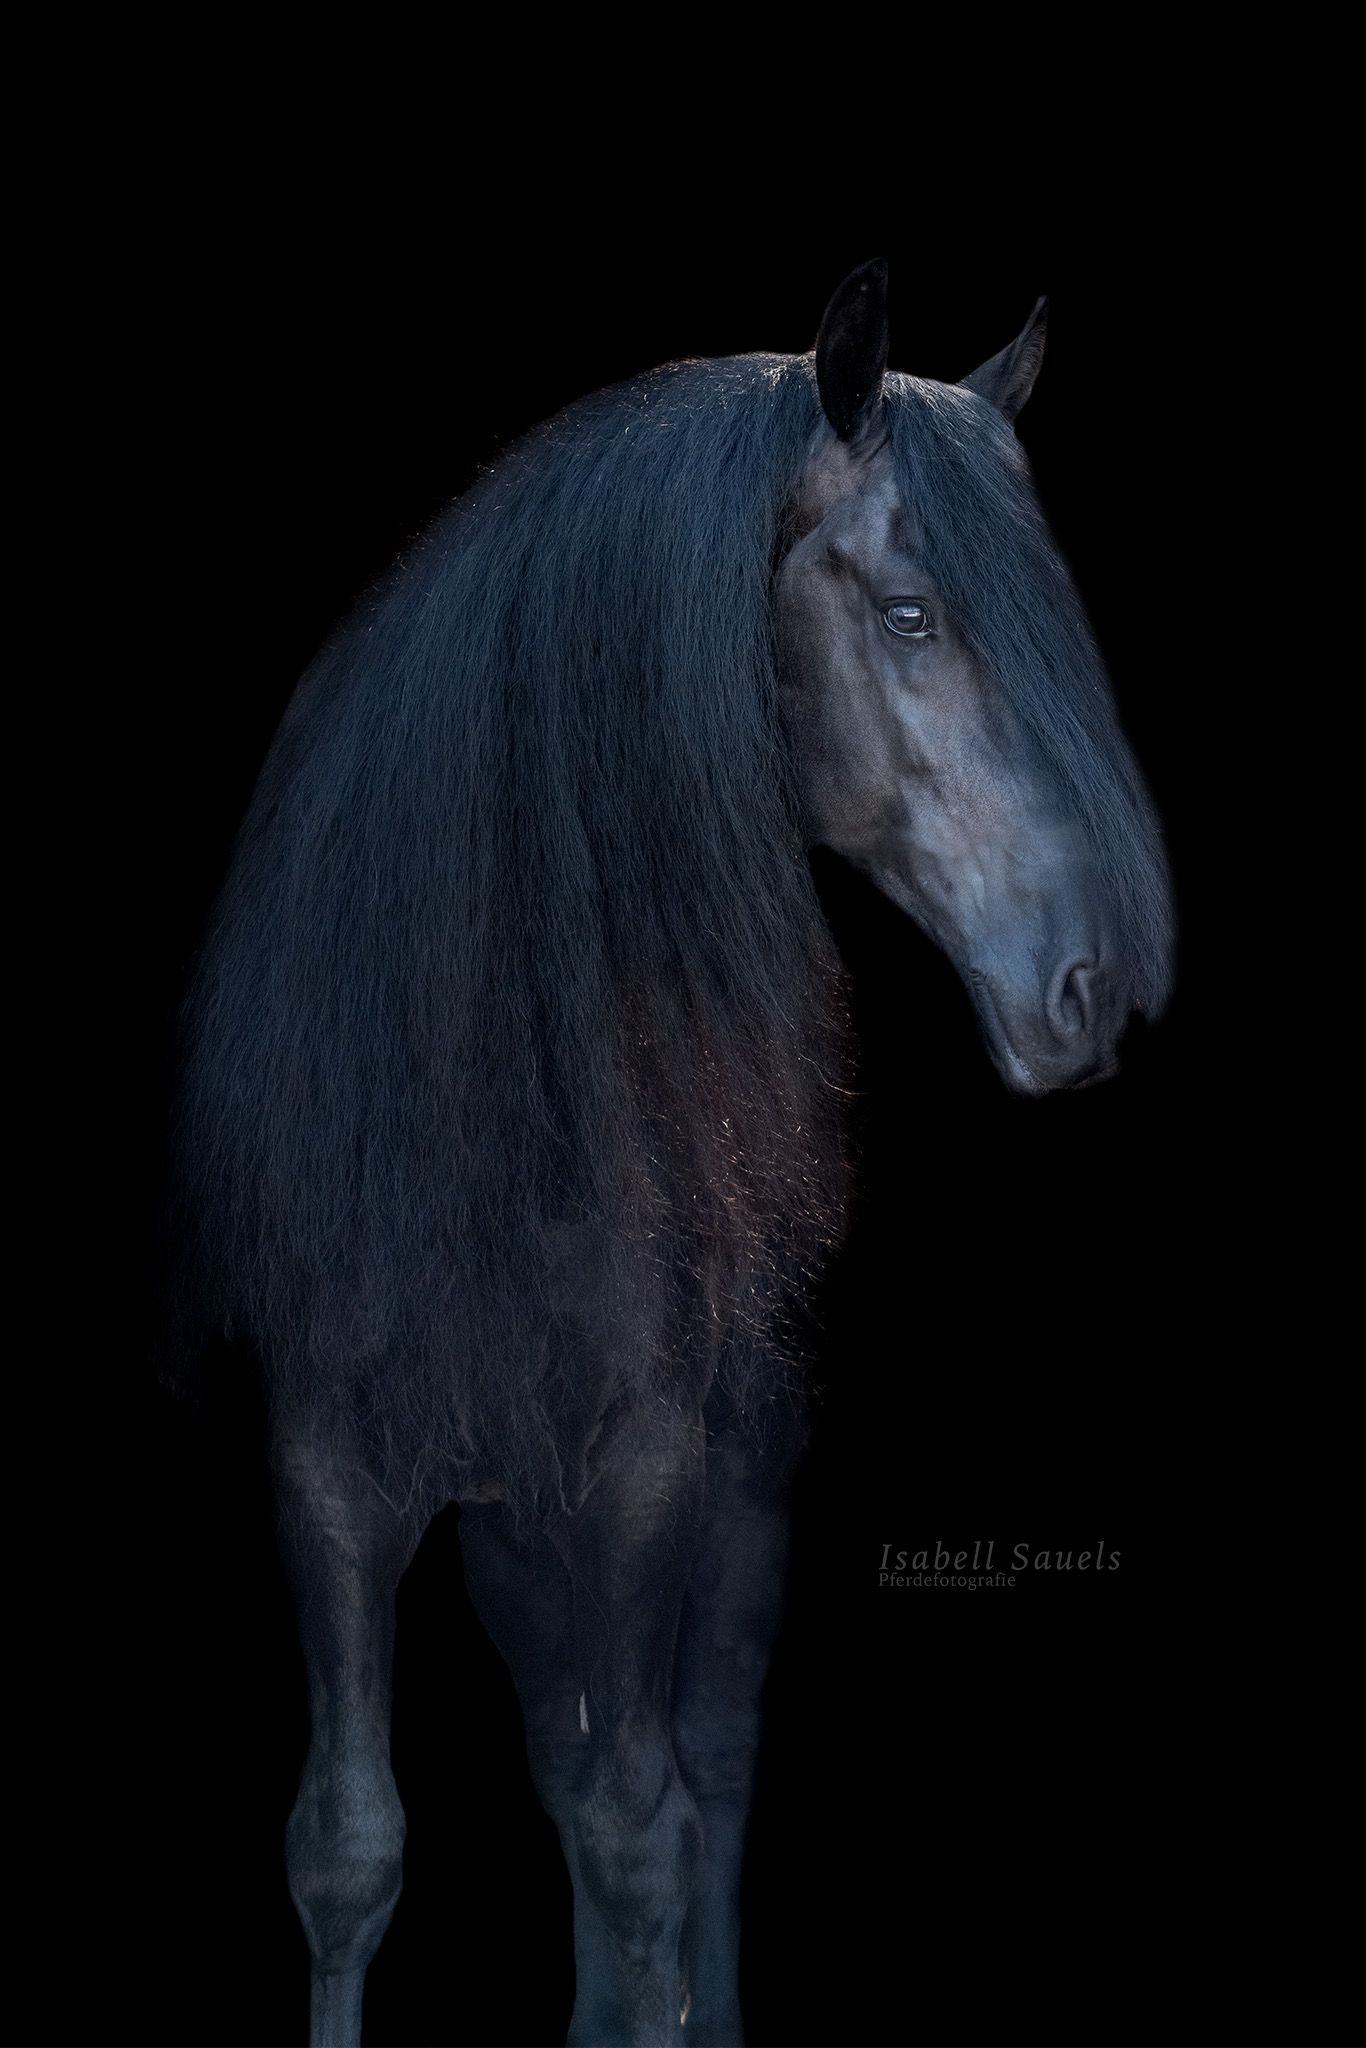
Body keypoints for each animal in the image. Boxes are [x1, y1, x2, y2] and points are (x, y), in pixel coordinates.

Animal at [166, 260, 1173, 2048]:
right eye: (909, 616)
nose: (1094, 983)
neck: (479, 1089)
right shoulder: (329, 1474)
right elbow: (348, 1847)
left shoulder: (643, 1473)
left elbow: (650, 1833)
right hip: (507, 1522)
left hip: (731, 1475)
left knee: (695, 1770)